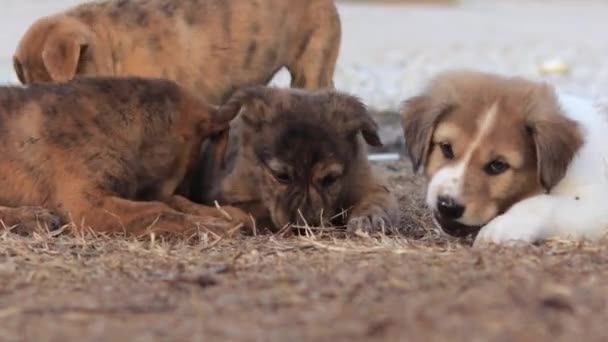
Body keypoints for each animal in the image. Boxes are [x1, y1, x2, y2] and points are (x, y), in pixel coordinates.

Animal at [0, 77, 249, 238]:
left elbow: (178, 204)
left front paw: (227, 215)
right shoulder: (88, 204)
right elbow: (159, 210)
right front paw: (215, 226)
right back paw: (30, 217)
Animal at [188, 85, 402, 232]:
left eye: (330, 179)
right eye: (282, 176)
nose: (306, 226)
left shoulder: (368, 182)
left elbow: (377, 199)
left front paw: (368, 217)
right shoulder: (224, 195)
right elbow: (260, 208)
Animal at [400, 69, 608, 246]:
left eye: (498, 165)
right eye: (447, 149)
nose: (447, 206)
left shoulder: (596, 203)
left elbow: (543, 204)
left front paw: (500, 229)